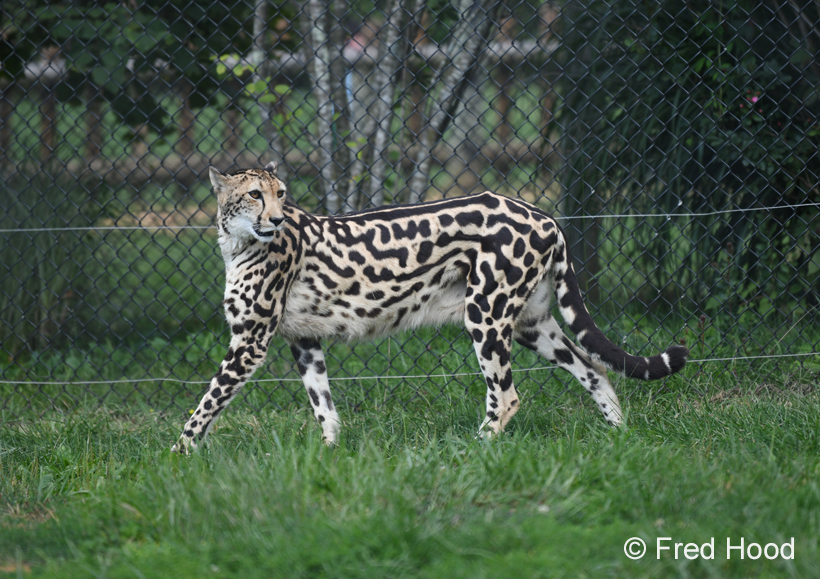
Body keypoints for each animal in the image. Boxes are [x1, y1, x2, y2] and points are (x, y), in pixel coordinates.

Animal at [171, 162, 688, 453]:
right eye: (254, 194)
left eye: (280, 194)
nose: (276, 219)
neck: (238, 241)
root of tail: (543, 214)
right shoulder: (305, 341)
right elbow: (324, 406)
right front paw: (329, 456)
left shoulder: (251, 341)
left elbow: (206, 403)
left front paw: (178, 456)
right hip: (531, 324)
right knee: (593, 368)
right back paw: (620, 437)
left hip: (486, 314)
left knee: (506, 396)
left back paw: (474, 450)